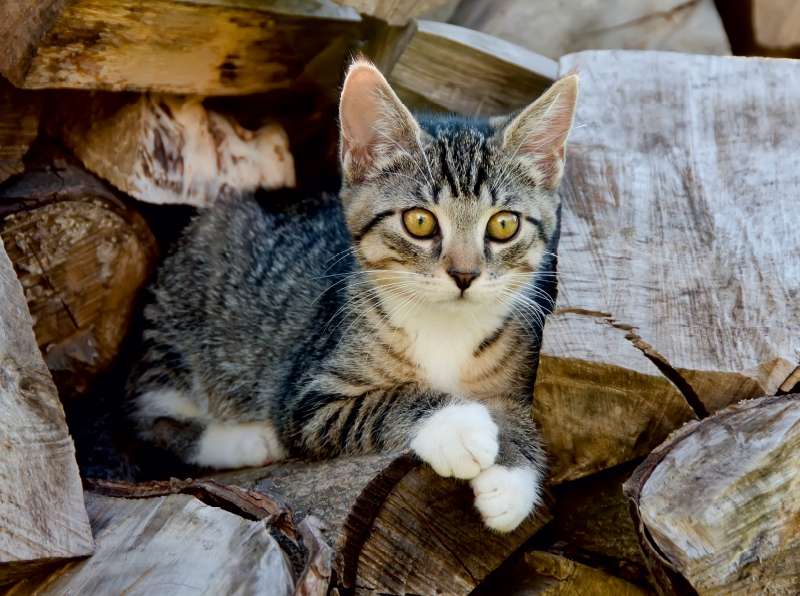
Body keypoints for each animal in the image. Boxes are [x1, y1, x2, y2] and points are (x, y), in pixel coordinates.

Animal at [128, 60, 580, 532]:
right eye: (419, 222)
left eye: (503, 225)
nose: (464, 274)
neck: (445, 328)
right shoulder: (306, 399)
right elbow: (386, 401)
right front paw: (458, 424)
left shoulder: (520, 371)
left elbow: (519, 412)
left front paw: (512, 479)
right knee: (152, 426)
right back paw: (247, 440)